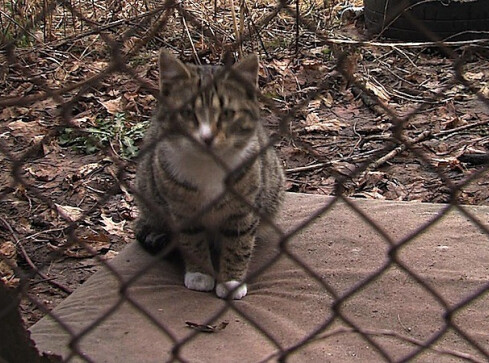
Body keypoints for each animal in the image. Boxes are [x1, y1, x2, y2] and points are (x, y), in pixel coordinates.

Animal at [133, 50, 284, 302]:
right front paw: (200, 275)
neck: (209, 166)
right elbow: (192, 242)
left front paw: (231, 281)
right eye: (186, 112)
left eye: (227, 114)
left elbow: (239, 245)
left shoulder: (243, 210)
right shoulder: (182, 210)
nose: (206, 137)